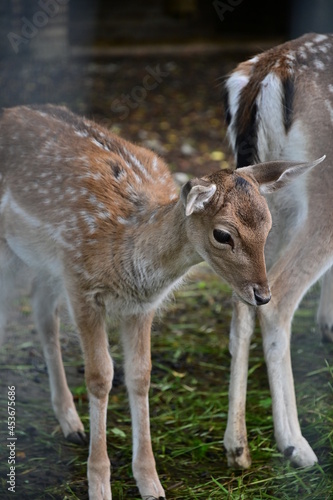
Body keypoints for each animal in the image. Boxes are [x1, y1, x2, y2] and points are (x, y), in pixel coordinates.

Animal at [0, 103, 322, 498]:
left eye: (268, 225)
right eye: (222, 234)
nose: (262, 294)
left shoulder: (140, 306)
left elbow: (140, 375)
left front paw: (150, 482)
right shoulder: (80, 284)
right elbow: (100, 376)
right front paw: (99, 485)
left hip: (43, 264)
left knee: (42, 312)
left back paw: (70, 422)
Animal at [220, 32, 332, 468]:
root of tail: (267, 73)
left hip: (265, 199)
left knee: (245, 296)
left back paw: (237, 446)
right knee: (279, 297)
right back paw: (295, 444)